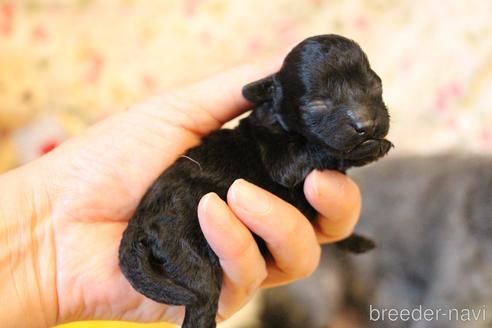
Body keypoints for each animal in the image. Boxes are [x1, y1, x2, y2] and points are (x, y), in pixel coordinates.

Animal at [118, 34, 392, 328]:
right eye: (317, 104)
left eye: (375, 86)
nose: (366, 125)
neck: (277, 117)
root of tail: (140, 223)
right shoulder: (282, 162)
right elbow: (321, 151)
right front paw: (371, 149)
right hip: (188, 254)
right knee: (201, 302)